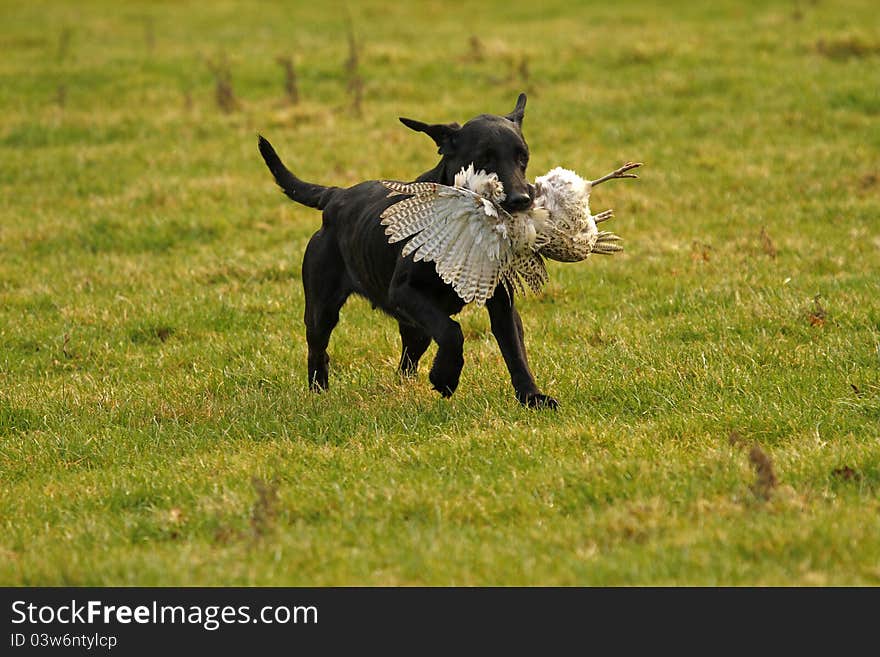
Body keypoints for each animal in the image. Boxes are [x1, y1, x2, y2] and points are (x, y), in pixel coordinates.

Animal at [258, 92, 556, 408]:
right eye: (484, 158)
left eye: (522, 157)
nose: (521, 199)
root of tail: (335, 196)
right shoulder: (403, 291)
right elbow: (452, 332)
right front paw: (445, 377)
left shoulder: (501, 301)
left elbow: (514, 349)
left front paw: (532, 397)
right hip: (322, 307)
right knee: (318, 349)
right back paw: (319, 392)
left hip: (412, 326)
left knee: (408, 358)